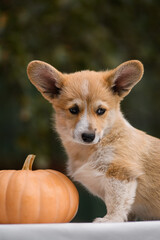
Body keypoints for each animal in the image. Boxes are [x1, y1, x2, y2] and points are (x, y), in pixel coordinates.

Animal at [26, 59, 160, 222]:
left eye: (101, 111)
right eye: (73, 110)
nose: (88, 136)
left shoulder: (120, 173)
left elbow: (116, 202)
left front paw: (109, 220)